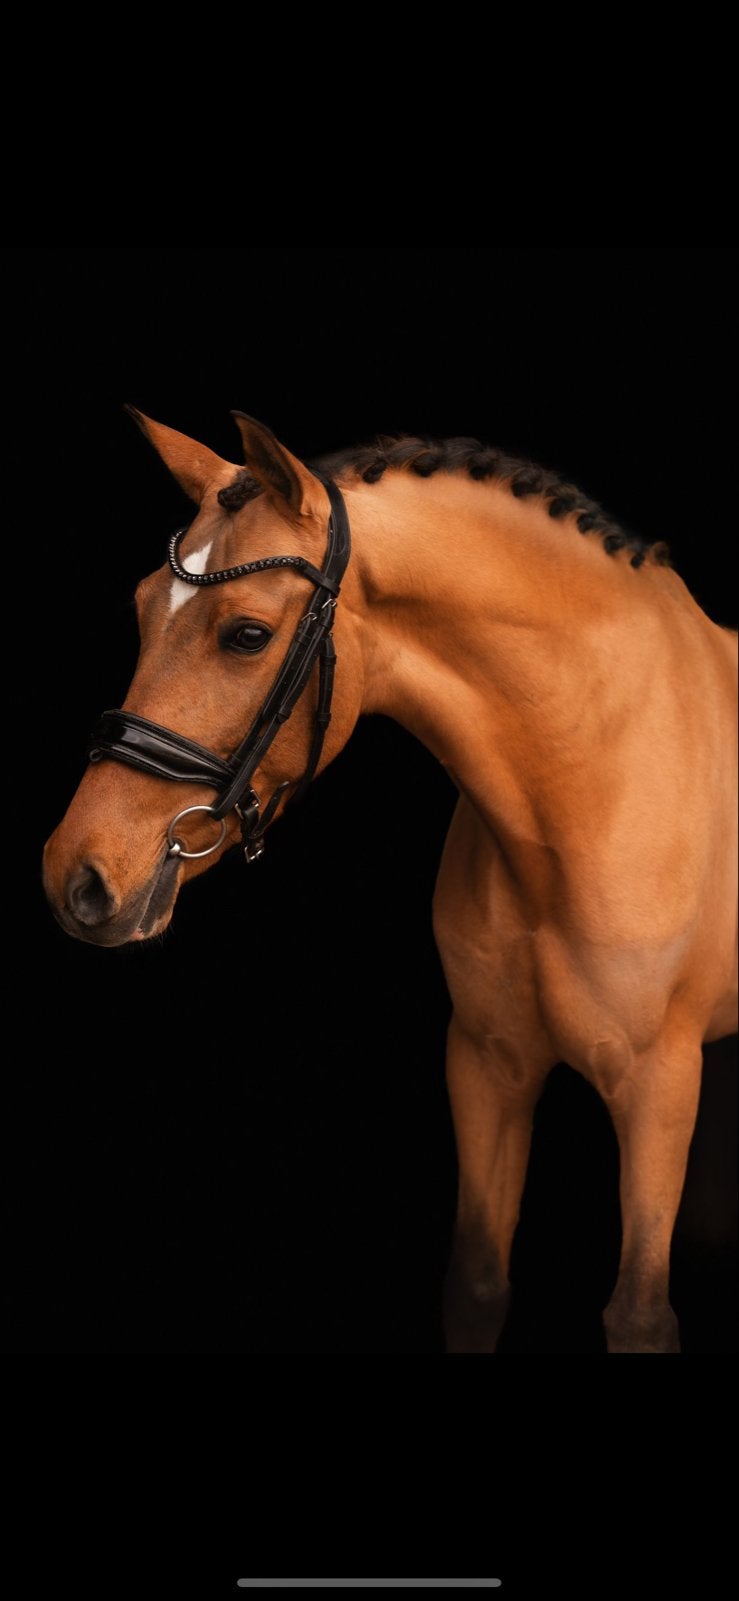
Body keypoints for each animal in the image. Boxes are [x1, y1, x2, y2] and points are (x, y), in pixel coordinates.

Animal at [43, 410, 738, 1354]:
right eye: (145, 605)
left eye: (246, 634)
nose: (75, 873)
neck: (596, 777)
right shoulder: (485, 1062)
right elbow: (476, 1282)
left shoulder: (657, 1088)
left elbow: (637, 1312)